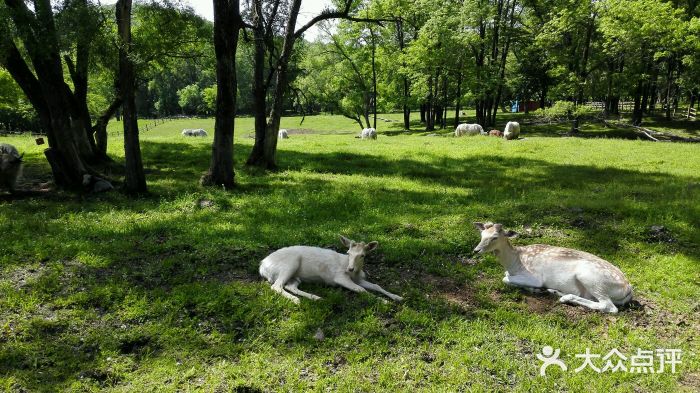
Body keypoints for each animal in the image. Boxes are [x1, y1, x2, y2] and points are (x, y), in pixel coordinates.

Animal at [258, 236, 402, 304]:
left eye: (363, 255)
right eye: (348, 253)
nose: (350, 269)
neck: (355, 274)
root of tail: (262, 267)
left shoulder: (359, 279)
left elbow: (376, 285)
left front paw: (398, 297)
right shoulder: (339, 277)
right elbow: (361, 289)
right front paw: (383, 301)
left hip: (295, 276)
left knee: (290, 286)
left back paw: (316, 298)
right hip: (289, 264)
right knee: (276, 286)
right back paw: (296, 300)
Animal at [474, 222, 632, 314]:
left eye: (495, 237)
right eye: (481, 234)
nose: (476, 250)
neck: (514, 262)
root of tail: (628, 289)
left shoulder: (535, 277)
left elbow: (505, 279)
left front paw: (534, 289)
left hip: (593, 279)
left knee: (609, 307)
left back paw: (564, 297)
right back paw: (554, 292)